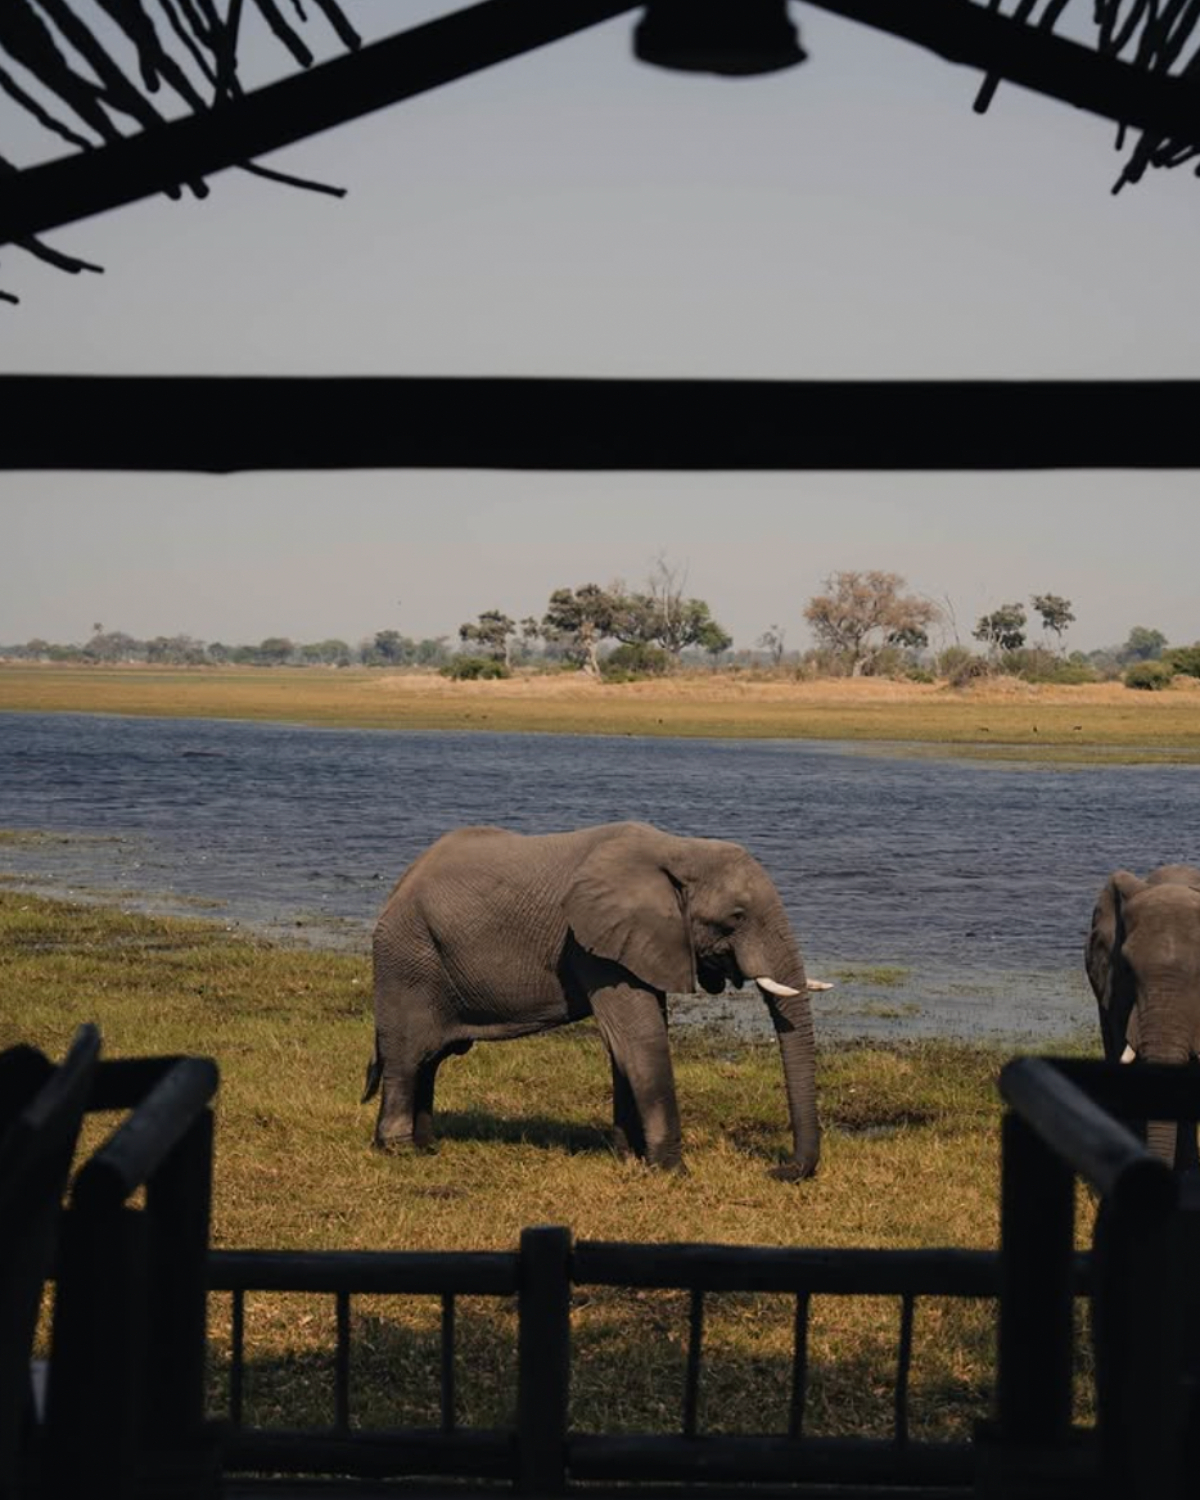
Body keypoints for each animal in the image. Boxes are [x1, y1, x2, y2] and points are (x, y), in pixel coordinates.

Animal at [361, 820, 825, 1179]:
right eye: (737, 917)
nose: (776, 1170)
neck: (678, 848)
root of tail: (400, 885)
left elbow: (627, 1043)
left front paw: (630, 1158)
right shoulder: (594, 945)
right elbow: (640, 1039)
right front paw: (672, 1172)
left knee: (431, 1059)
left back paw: (429, 1146)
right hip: (408, 961)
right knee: (407, 1056)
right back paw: (399, 1149)